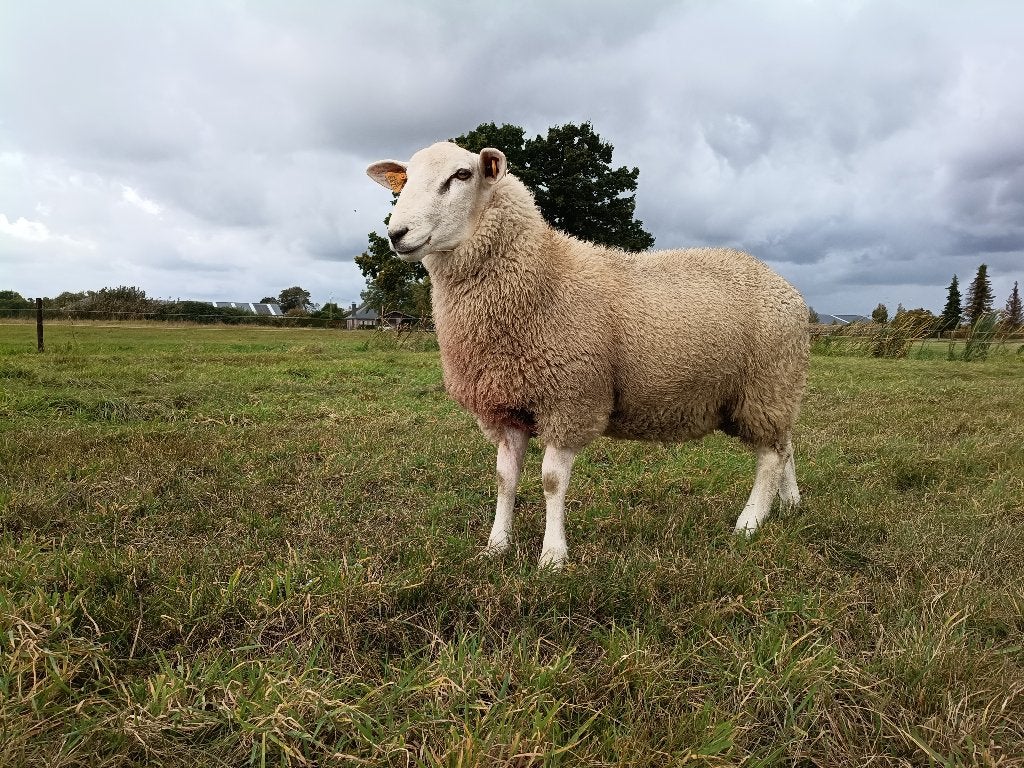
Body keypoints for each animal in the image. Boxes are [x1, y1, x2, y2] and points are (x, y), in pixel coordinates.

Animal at [367, 141, 809, 568]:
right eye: (405, 180)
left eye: (462, 174)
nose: (397, 233)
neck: (540, 277)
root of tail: (786, 286)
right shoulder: (506, 407)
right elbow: (504, 479)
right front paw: (497, 547)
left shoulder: (571, 399)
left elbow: (551, 482)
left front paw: (552, 557)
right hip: (776, 389)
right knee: (785, 444)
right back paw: (789, 504)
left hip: (765, 384)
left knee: (770, 456)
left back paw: (750, 523)